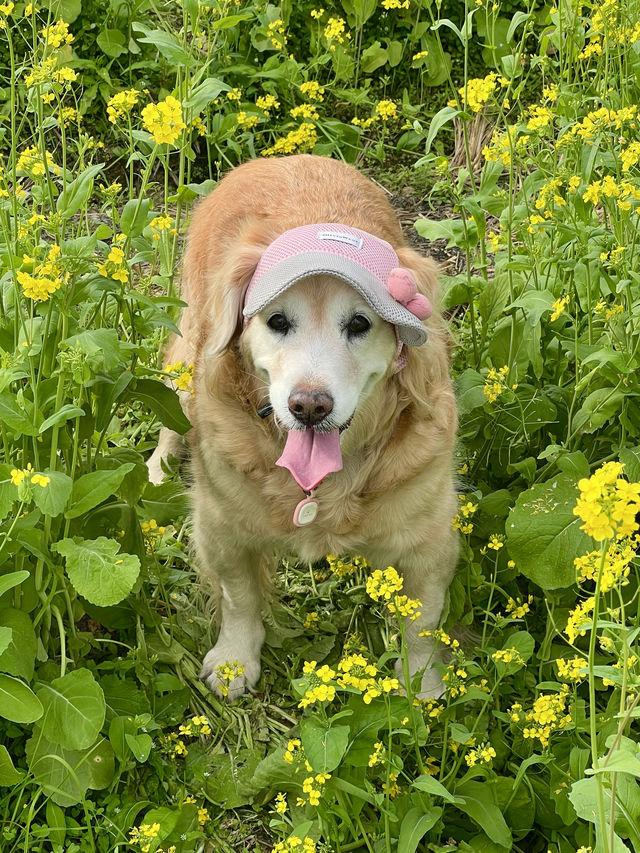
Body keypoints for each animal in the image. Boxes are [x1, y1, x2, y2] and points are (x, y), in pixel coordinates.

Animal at [149, 153, 460, 700]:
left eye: (359, 324)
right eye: (277, 321)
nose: (308, 406)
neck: (320, 490)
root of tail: (286, 155)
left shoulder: (430, 540)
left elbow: (421, 625)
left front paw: (422, 688)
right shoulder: (222, 527)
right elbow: (240, 599)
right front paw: (234, 662)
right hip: (186, 356)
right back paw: (158, 468)